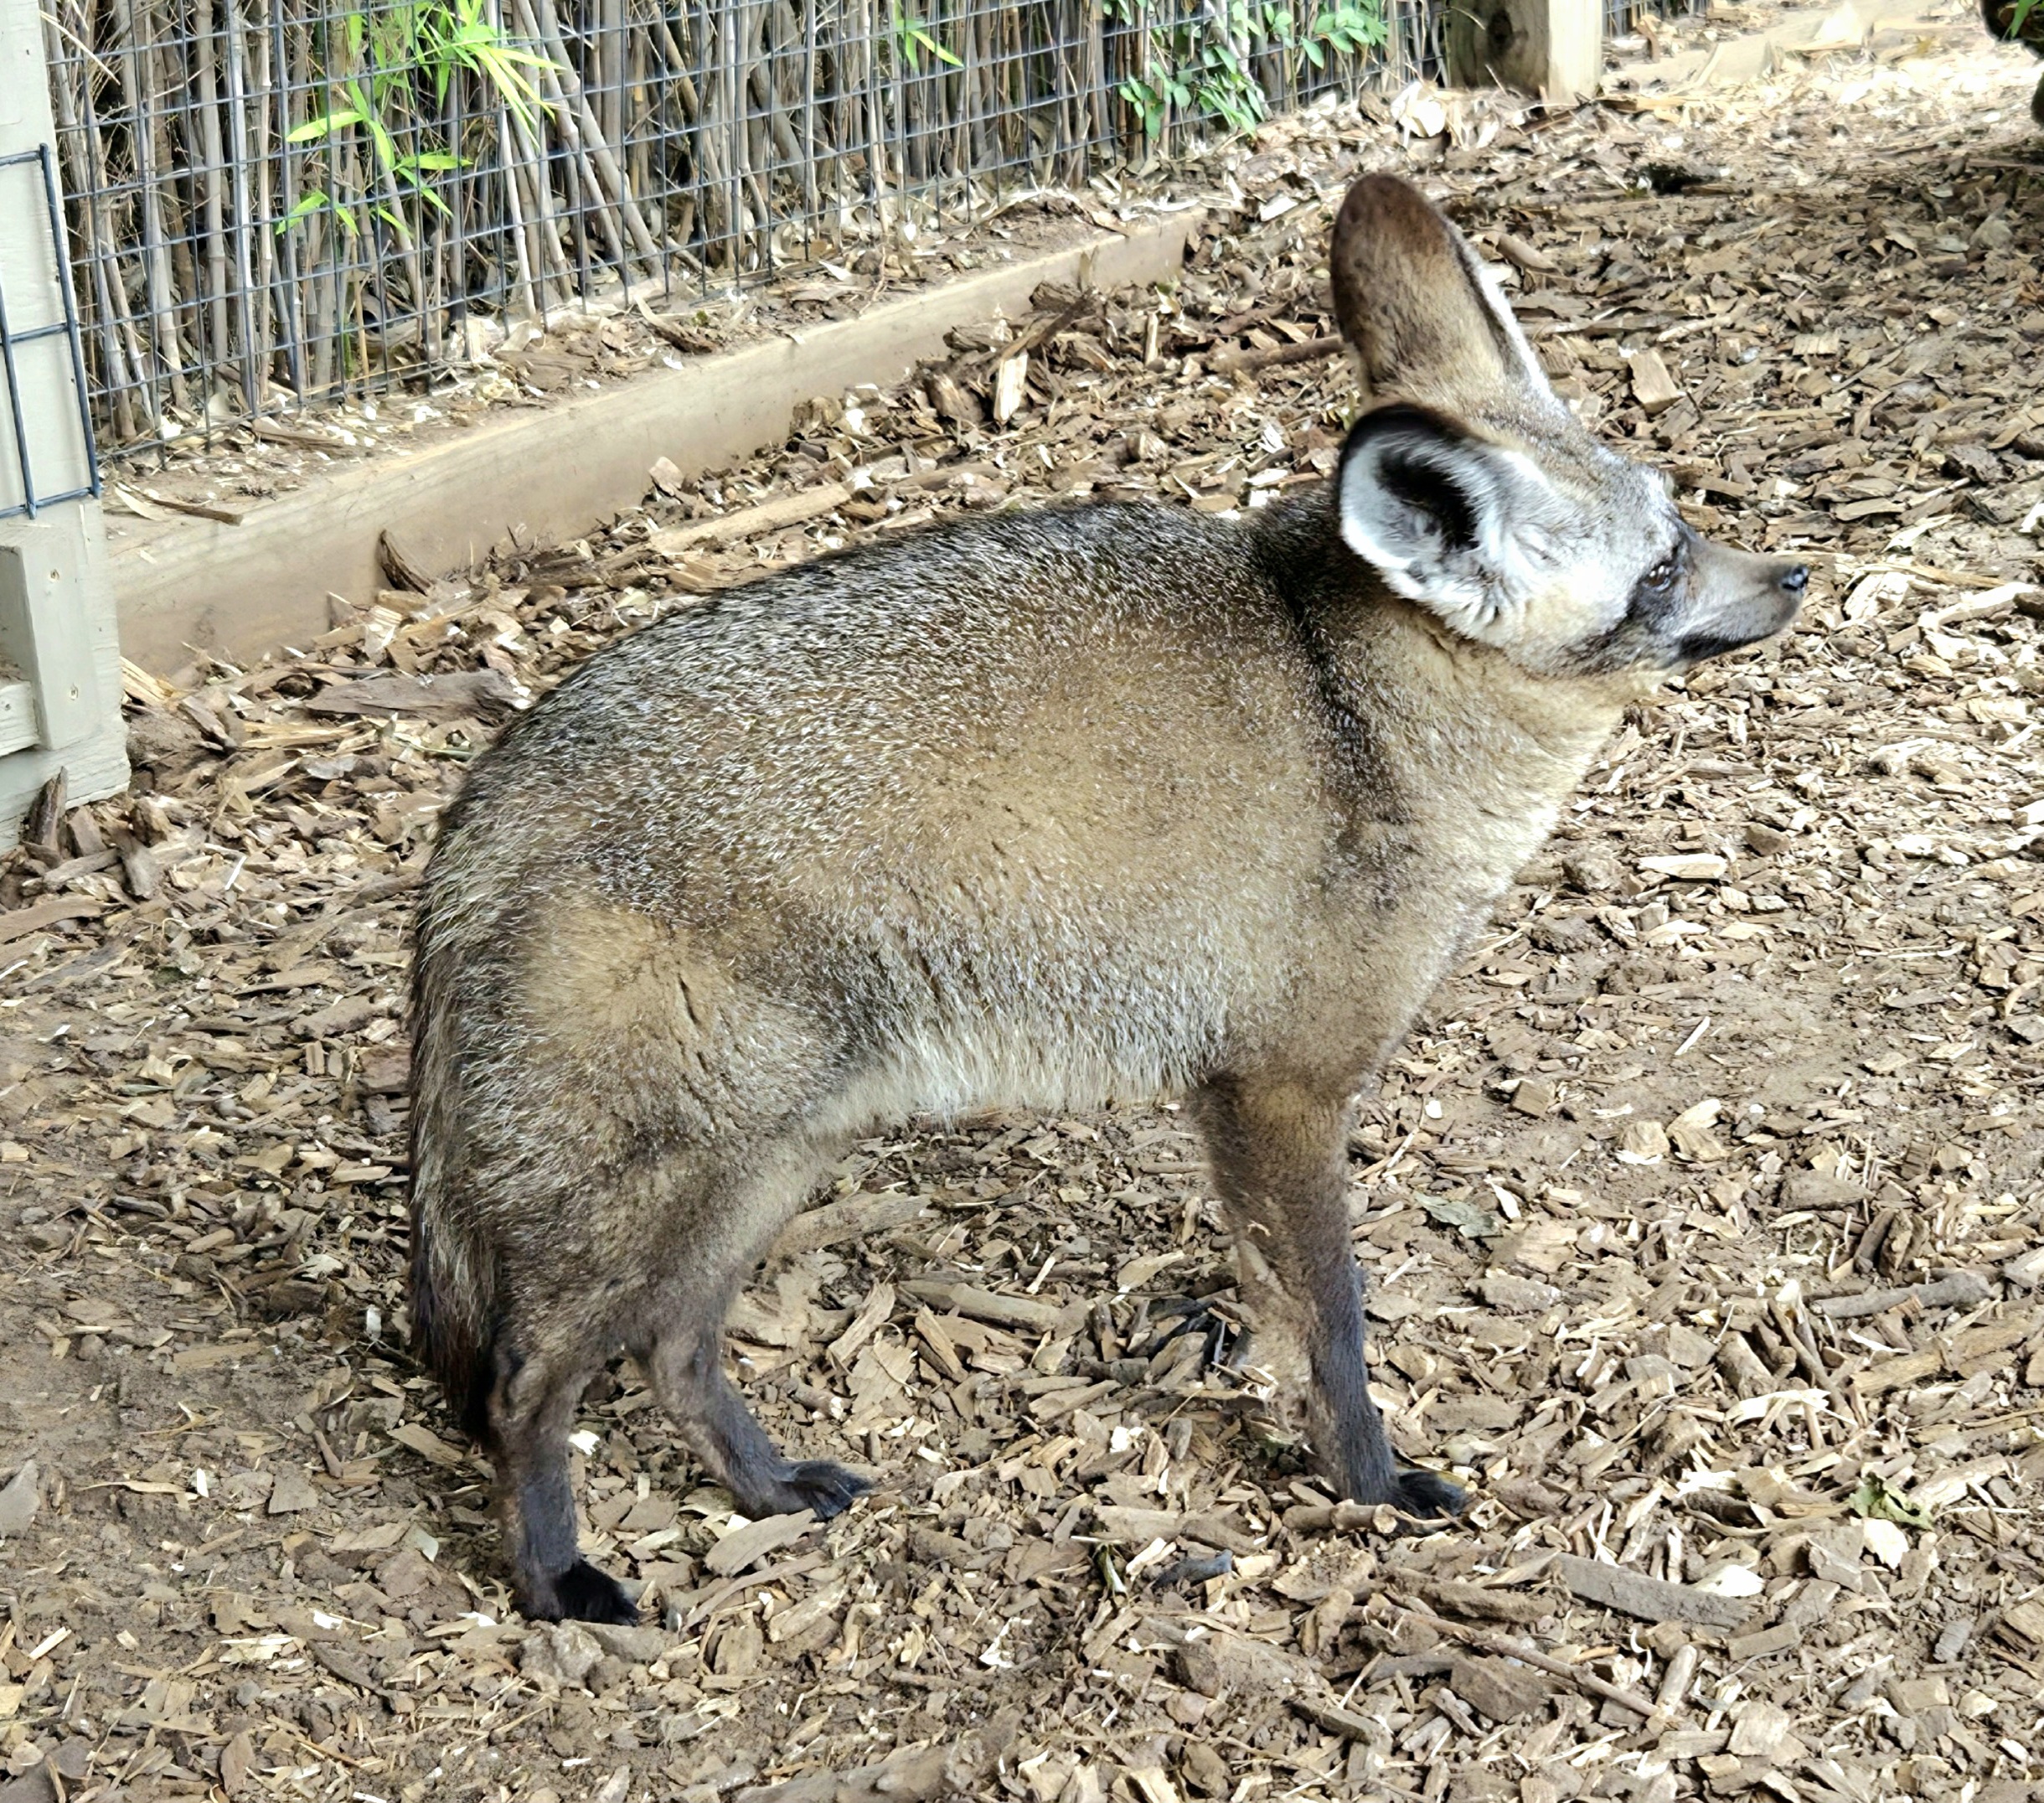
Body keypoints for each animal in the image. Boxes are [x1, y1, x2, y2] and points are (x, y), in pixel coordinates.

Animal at [407, 170, 1807, 1624]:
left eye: (1683, 520)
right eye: (1660, 569)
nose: (1798, 576)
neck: (1359, 704)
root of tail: (482, 809)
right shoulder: (1278, 1089)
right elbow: (1334, 1319)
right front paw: (1367, 1483)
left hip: (768, 1165)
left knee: (672, 1350)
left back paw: (766, 1487)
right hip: (653, 1192)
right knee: (525, 1382)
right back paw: (556, 1575)